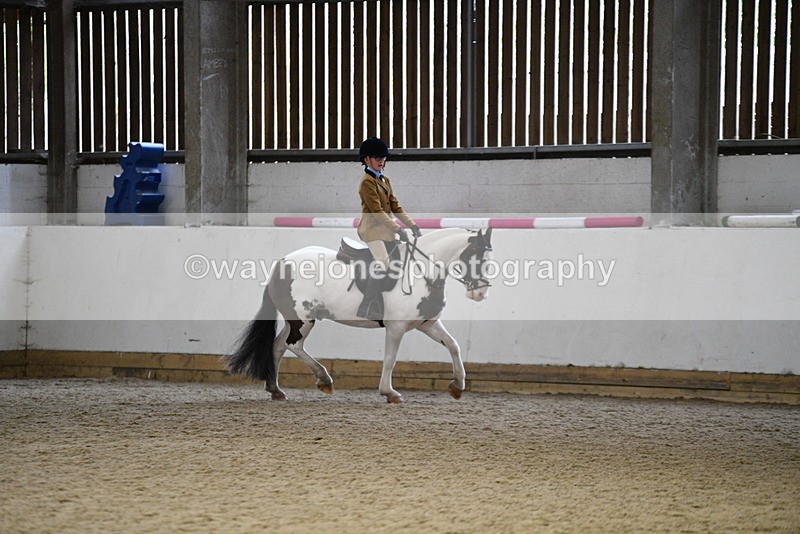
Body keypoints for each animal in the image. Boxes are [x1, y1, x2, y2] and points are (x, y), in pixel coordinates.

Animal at [223, 227, 493, 403]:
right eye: (477, 257)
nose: (481, 293)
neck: (421, 271)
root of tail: (282, 263)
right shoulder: (396, 327)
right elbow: (390, 359)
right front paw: (389, 392)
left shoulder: (427, 323)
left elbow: (453, 345)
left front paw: (457, 386)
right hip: (304, 319)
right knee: (293, 345)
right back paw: (324, 379)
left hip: (294, 319)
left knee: (279, 345)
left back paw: (275, 389)